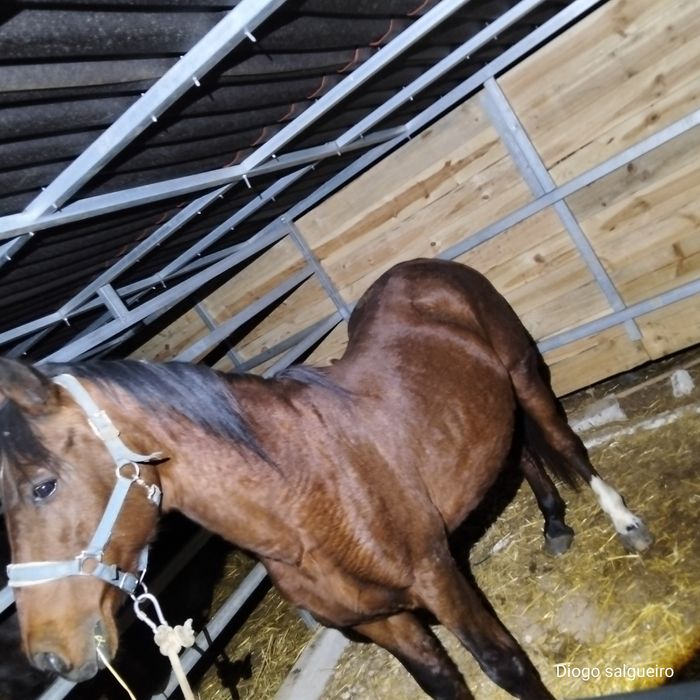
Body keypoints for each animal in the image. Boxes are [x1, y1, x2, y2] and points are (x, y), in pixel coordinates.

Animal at [0, 258, 653, 700]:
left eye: (43, 486)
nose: (49, 656)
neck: (302, 498)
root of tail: (429, 269)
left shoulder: (439, 578)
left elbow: (505, 664)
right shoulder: (381, 621)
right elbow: (445, 684)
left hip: (522, 377)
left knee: (565, 446)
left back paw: (625, 524)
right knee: (519, 456)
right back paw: (554, 524)